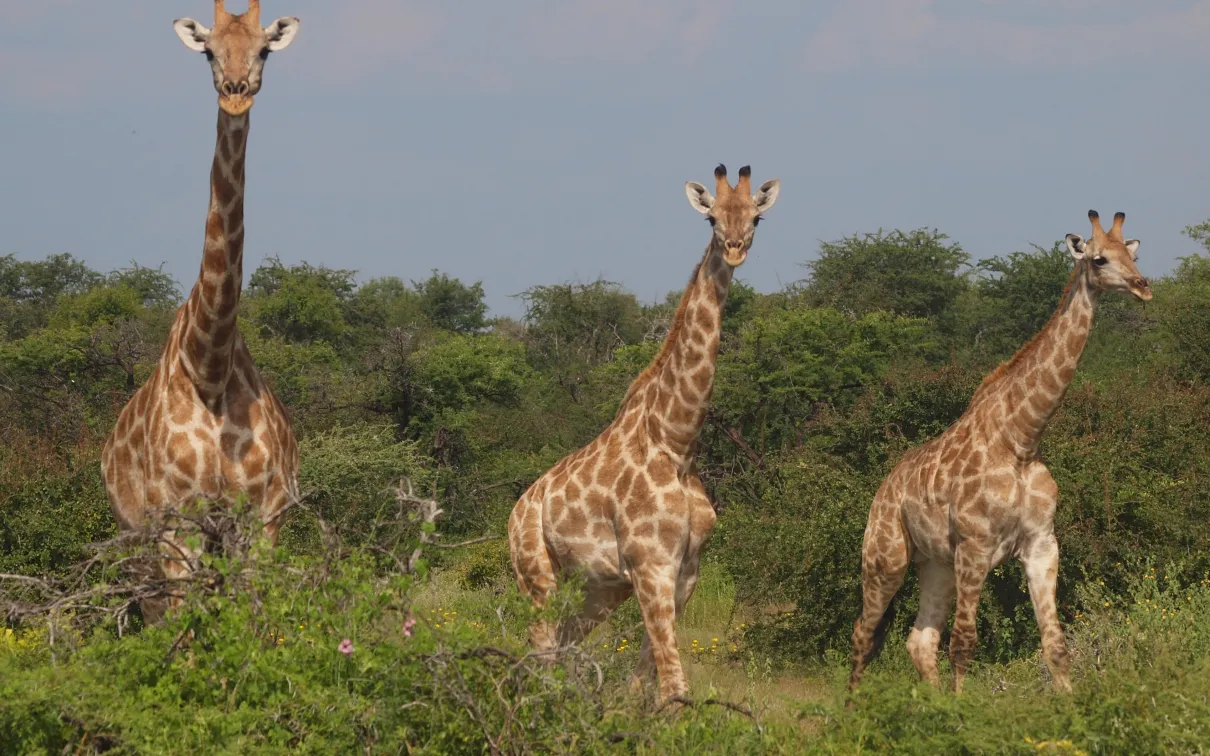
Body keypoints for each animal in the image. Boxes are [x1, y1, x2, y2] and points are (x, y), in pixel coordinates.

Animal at [100, 1, 301, 623]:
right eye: (209, 50)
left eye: (263, 50)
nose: (235, 94)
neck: (208, 363)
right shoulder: (177, 521)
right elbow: (186, 630)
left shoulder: (262, 517)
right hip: (136, 540)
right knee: (156, 613)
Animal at [508, 164, 780, 703]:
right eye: (710, 218)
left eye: (756, 217)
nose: (735, 247)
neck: (676, 441)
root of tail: (515, 511)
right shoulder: (651, 564)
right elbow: (673, 685)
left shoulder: (686, 571)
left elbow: (648, 679)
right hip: (536, 574)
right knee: (542, 650)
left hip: (601, 587)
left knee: (564, 644)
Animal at [848, 210, 1152, 694]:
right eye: (1099, 259)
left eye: (1133, 254)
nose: (1143, 286)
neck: (1021, 440)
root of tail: (882, 489)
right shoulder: (976, 546)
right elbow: (965, 643)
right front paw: (964, 711)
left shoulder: (1042, 544)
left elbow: (1055, 644)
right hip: (885, 556)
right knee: (864, 634)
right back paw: (851, 708)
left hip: (935, 565)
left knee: (919, 640)